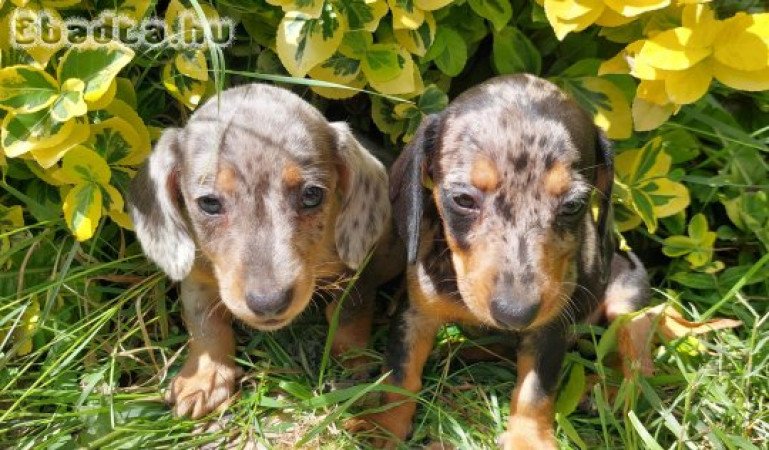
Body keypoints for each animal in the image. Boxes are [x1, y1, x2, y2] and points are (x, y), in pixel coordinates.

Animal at [129, 83, 402, 418]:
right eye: (209, 202)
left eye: (312, 195)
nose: (269, 303)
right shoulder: (198, 277)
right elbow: (204, 324)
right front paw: (204, 378)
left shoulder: (359, 271)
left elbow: (349, 315)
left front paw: (357, 368)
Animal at [354, 74, 648, 446]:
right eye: (463, 199)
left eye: (573, 206)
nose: (515, 314)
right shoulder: (416, 312)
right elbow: (400, 375)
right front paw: (381, 427)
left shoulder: (551, 325)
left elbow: (535, 390)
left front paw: (528, 440)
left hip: (627, 303)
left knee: (635, 364)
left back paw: (605, 393)